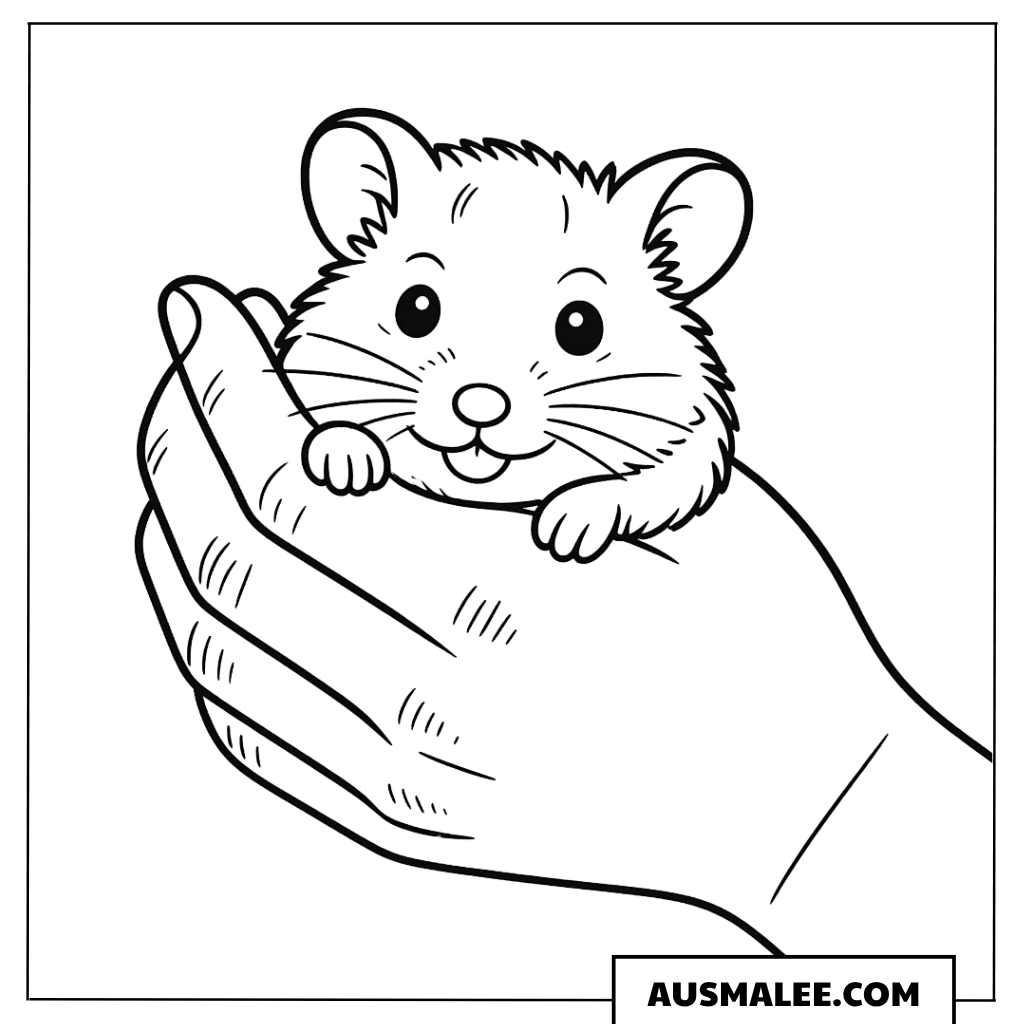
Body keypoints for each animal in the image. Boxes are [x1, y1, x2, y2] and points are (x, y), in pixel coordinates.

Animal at [277, 109, 752, 562]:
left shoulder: (696, 449)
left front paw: (568, 529)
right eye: (416, 307)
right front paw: (346, 461)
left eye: (581, 325)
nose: (479, 408)